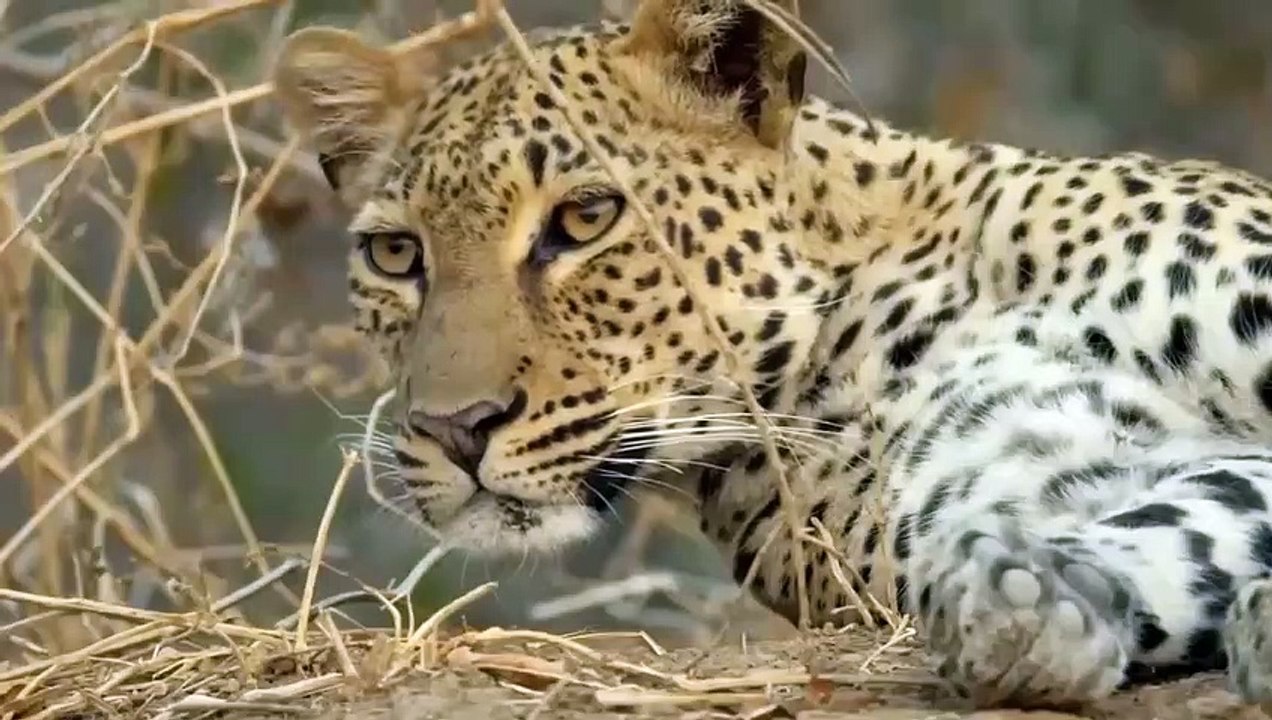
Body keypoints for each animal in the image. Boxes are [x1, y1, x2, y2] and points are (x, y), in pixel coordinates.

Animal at [272, 0, 1272, 708]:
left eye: (585, 218)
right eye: (396, 254)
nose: (457, 429)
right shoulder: (1038, 480)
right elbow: (1191, 524)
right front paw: (1030, 608)